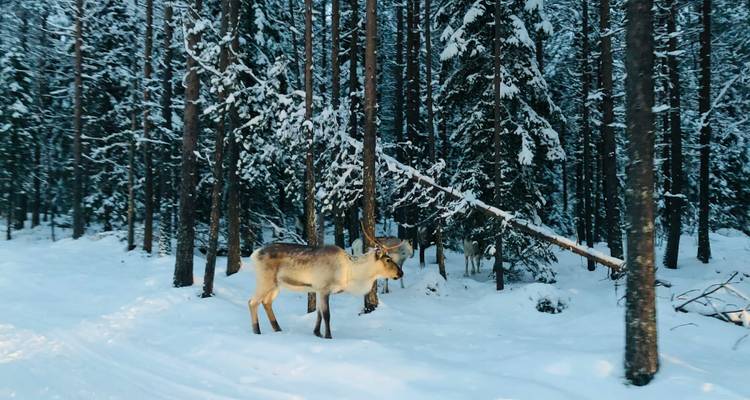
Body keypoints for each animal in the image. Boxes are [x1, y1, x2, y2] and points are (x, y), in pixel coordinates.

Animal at [248, 241, 404, 339]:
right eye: (388, 260)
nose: (401, 273)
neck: (351, 274)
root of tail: (254, 254)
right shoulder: (324, 289)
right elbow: (327, 314)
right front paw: (328, 336)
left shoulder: (317, 289)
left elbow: (318, 314)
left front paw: (317, 333)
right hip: (265, 281)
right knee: (252, 302)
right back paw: (256, 330)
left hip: (276, 286)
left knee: (266, 302)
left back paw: (277, 328)